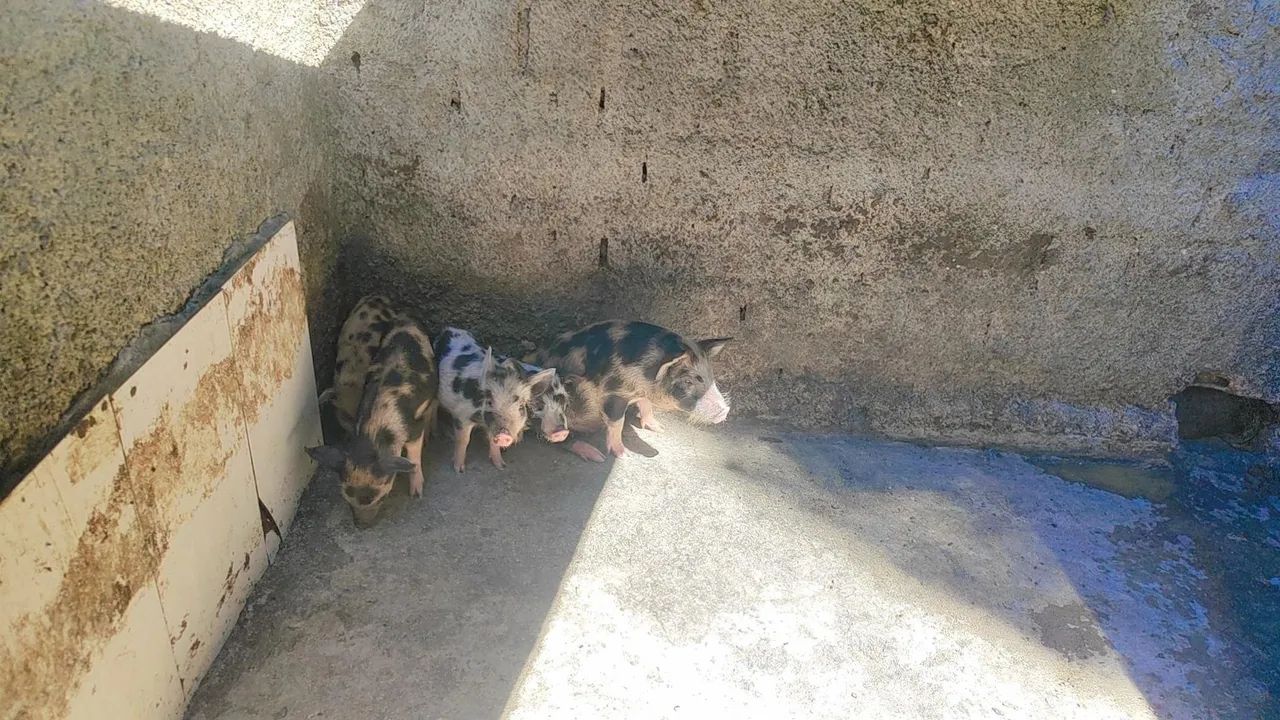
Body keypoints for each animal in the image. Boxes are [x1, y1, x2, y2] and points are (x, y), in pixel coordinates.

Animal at [307, 298, 438, 528]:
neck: (376, 431)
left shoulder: (414, 425)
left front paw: (417, 494)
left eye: (381, 496)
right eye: (346, 497)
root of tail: (407, 317)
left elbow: (414, 455)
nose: (361, 526)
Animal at [433, 327, 564, 472]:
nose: (504, 435)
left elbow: (493, 442)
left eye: (521, 406)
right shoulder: (462, 416)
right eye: (490, 402)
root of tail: (449, 329)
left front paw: (501, 466)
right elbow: (463, 440)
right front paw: (459, 470)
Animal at [532, 321, 731, 462]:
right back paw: (597, 456)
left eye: (710, 375)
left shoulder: (639, 393)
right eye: (688, 381)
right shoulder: (613, 392)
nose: (725, 410)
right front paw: (624, 456)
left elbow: (646, 404)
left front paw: (660, 429)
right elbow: (617, 423)